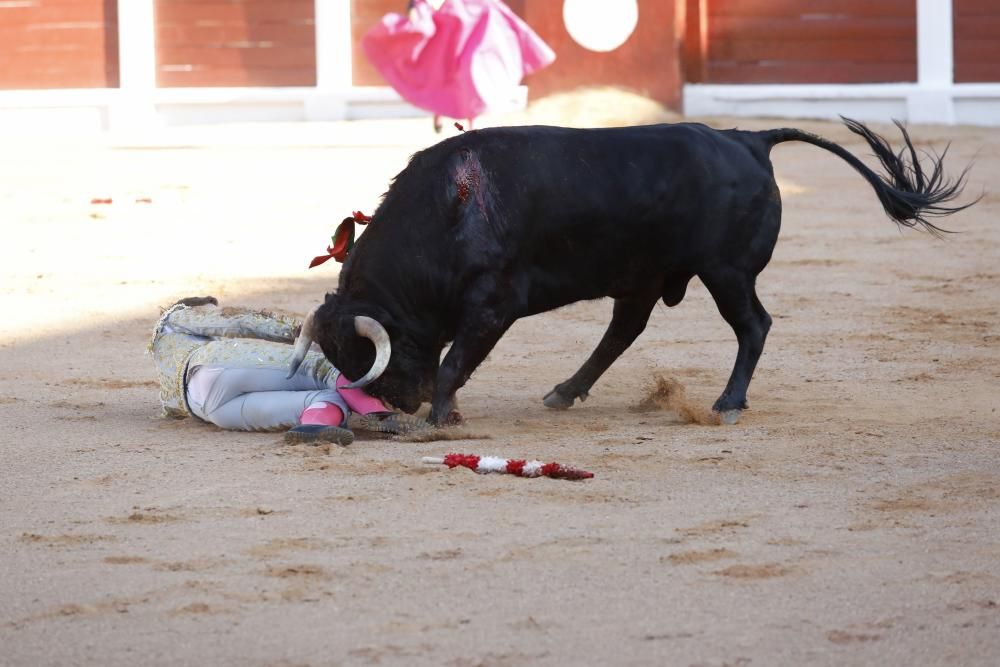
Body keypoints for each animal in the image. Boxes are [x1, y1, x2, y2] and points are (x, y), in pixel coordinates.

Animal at [302, 117, 968, 426]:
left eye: (367, 354)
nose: (398, 403)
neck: (448, 212)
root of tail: (749, 138)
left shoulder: (493, 306)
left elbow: (454, 360)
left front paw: (445, 417)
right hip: (648, 276)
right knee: (624, 331)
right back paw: (564, 392)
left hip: (727, 273)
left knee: (754, 326)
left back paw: (728, 403)